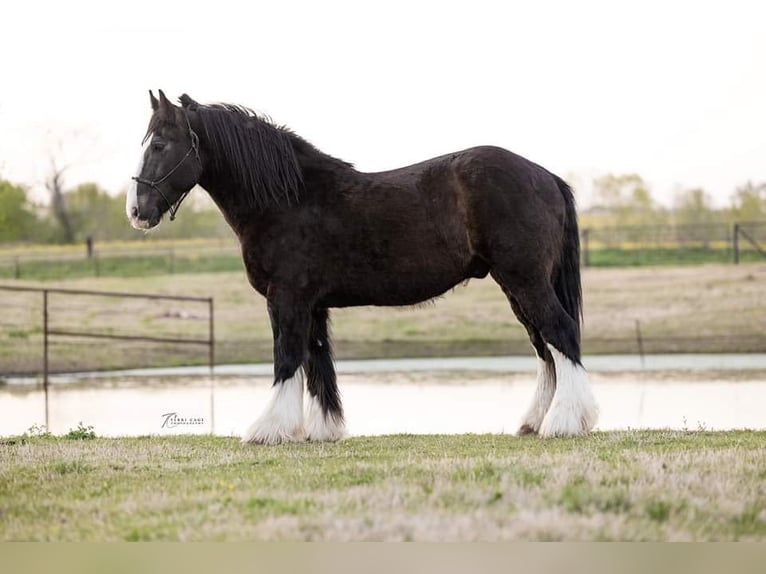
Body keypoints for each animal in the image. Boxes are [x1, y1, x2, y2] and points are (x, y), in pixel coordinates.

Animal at [129, 91, 600, 446]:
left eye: (159, 146)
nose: (137, 211)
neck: (288, 198)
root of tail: (545, 176)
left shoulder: (287, 299)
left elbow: (287, 358)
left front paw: (268, 430)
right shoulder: (312, 305)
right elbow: (317, 362)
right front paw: (323, 431)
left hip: (525, 280)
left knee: (560, 334)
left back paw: (564, 423)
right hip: (516, 286)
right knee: (545, 348)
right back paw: (535, 422)